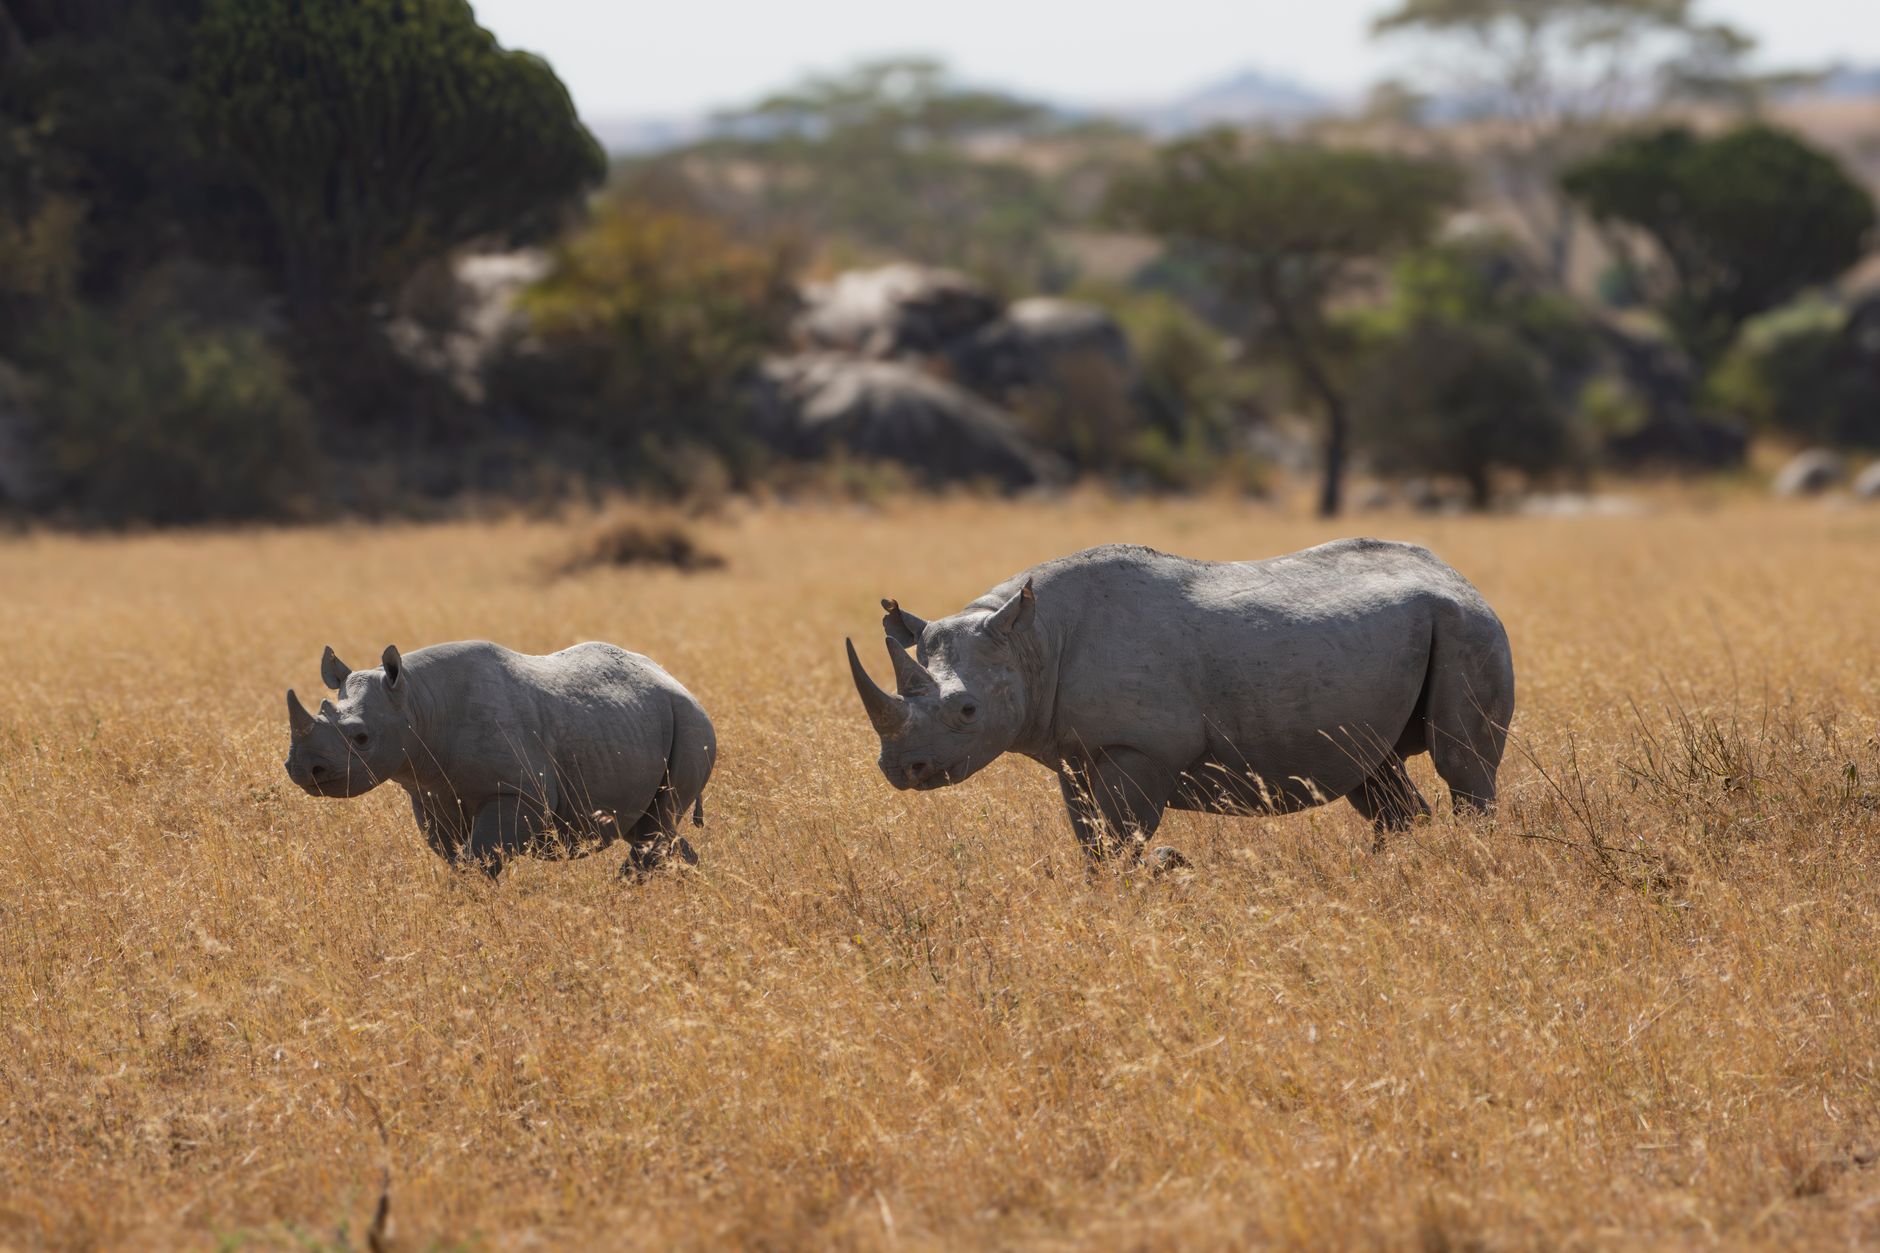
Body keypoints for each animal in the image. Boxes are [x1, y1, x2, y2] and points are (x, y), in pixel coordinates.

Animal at [284, 640, 715, 878]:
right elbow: (458, 858)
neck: (417, 703)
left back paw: (625, 890)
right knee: (648, 829)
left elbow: (481, 858)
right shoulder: (430, 794)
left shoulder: (516, 792)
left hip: (692, 723)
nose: (303, 769)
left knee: (656, 825)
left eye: (362, 738)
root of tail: (679, 683)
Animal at [846, 540, 1514, 862]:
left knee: (1463, 763)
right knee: (1373, 771)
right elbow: (1093, 840)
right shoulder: (1076, 753)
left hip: (1469, 626)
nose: (902, 770)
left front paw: (1148, 876)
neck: (1030, 639)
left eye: (967, 712)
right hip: (1413, 634)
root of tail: (1458, 577)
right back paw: (1390, 870)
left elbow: (1123, 838)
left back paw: (1469, 857)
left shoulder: (1141, 747)